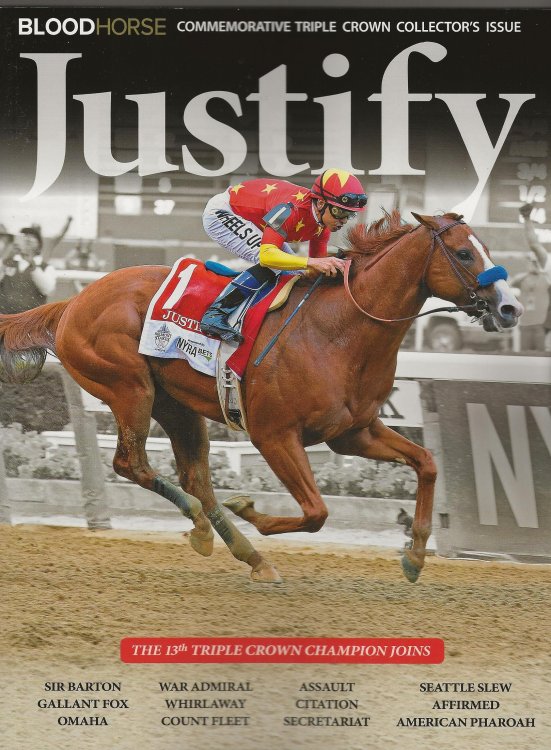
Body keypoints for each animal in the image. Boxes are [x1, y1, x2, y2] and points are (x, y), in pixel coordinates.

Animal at [0, 212, 522, 584]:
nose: (509, 307)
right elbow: (316, 512)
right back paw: (204, 524)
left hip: (176, 404)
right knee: (134, 465)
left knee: (195, 477)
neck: (339, 332)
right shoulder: (274, 435)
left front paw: (414, 554)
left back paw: (244, 553)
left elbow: (428, 463)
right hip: (130, 388)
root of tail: (73, 301)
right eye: (464, 254)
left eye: (484, 249)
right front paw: (250, 510)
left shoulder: (354, 432)